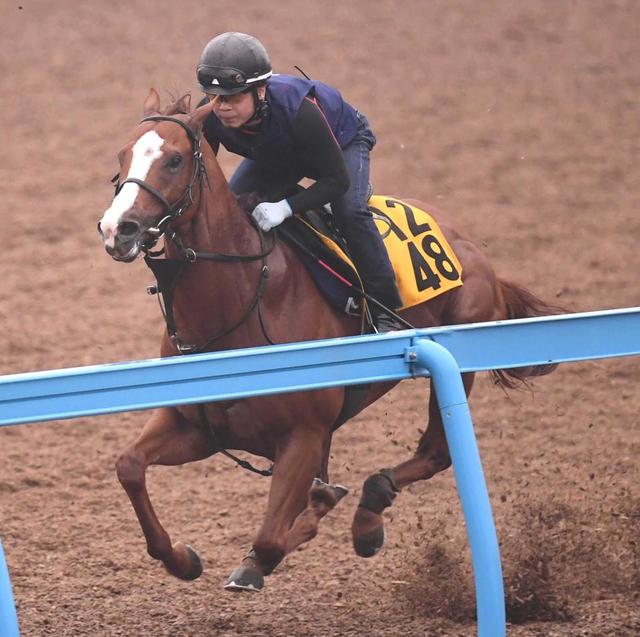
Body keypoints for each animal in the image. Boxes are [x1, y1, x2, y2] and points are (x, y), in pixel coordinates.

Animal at [97, 89, 560, 592]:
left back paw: (368, 518)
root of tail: (473, 249)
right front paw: (182, 558)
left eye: (175, 159)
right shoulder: (196, 426)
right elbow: (128, 466)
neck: (243, 301)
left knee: (435, 452)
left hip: (459, 354)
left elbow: (270, 539)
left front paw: (263, 557)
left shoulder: (304, 435)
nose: (117, 229)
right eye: (122, 155)